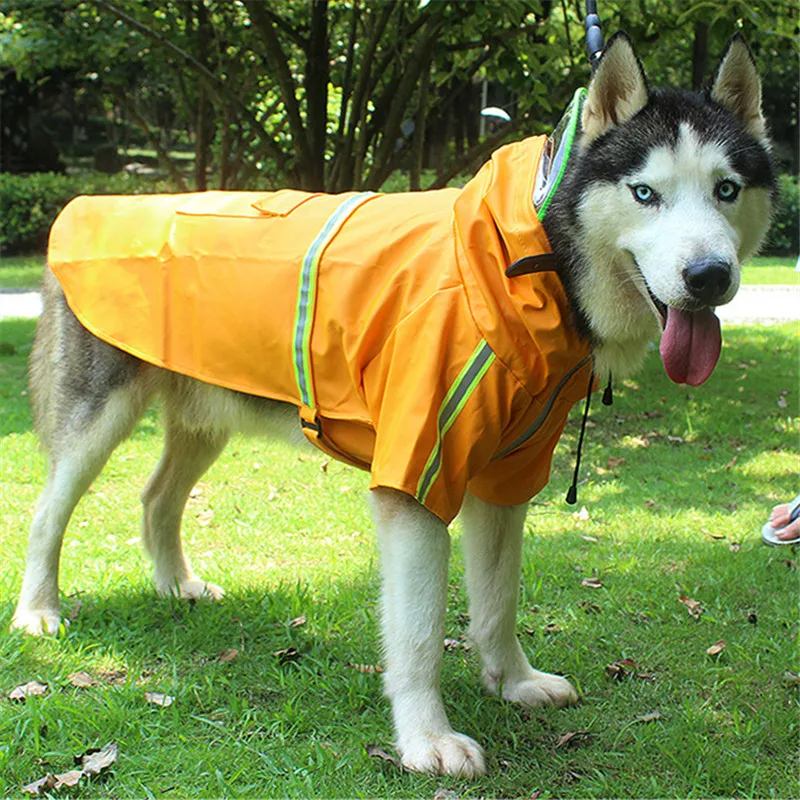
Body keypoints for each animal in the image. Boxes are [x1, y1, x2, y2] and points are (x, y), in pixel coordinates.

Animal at [10, 32, 776, 776]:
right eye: (645, 192)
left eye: (726, 189)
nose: (709, 276)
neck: (529, 258)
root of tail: (86, 207)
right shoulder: (415, 483)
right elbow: (418, 634)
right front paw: (426, 740)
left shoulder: (504, 479)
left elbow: (497, 602)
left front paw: (513, 681)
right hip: (98, 420)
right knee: (47, 512)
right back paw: (39, 613)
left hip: (206, 418)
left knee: (156, 499)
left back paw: (176, 586)